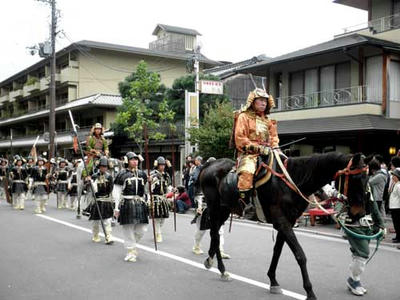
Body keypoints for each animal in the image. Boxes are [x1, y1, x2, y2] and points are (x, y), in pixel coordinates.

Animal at [198, 152, 368, 300]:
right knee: (215, 233)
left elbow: (277, 252)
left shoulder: (287, 222)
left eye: (366, 179)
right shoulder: (282, 221)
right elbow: (300, 255)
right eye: (357, 178)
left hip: (225, 209)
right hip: (215, 206)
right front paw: (309, 291)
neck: (295, 181)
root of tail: (210, 164)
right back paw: (222, 269)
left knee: (215, 233)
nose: (359, 213)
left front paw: (273, 281)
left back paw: (211, 259)